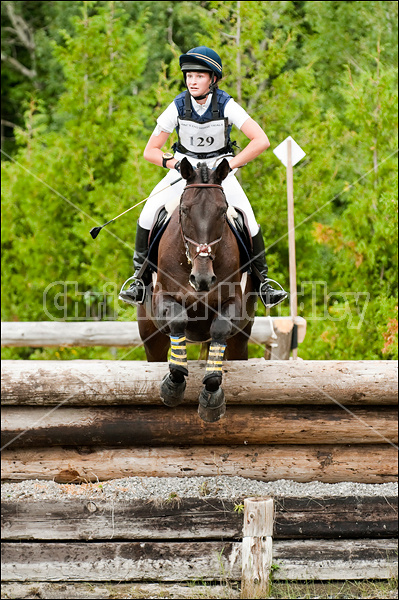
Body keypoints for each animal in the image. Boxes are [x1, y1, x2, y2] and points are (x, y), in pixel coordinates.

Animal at [138, 157, 256, 424]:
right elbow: (178, 320)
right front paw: (173, 383)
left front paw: (211, 395)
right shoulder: (162, 301)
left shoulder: (234, 304)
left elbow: (219, 328)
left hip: (241, 338)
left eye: (222, 211)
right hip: (150, 335)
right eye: (184, 210)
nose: (202, 280)